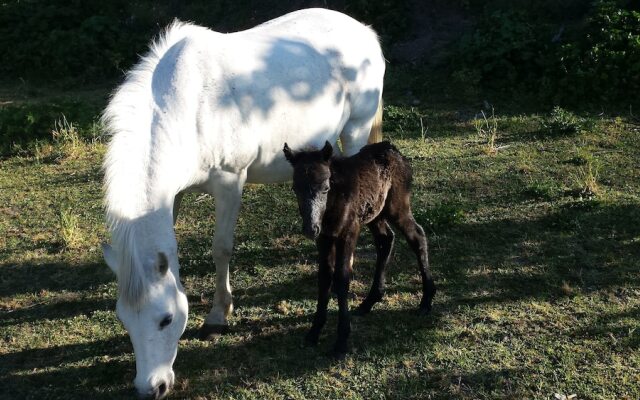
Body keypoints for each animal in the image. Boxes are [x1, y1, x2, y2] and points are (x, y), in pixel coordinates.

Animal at [98, 7, 382, 398]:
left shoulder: (230, 184)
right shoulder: (172, 195)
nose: (150, 388)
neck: (188, 110)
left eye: (166, 319)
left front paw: (218, 316)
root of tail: (364, 30)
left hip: (355, 131)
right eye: (123, 319)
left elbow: (222, 249)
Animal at [284, 141, 438, 356]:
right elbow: (324, 277)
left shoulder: (349, 231)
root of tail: (393, 149)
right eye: (295, 188)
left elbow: (342, 278)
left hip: (397, 205)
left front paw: (341, 341)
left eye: (325, 187)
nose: (310, 228)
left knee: (417, 236)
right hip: (375, 213)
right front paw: (314, 332)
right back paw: (370, 301)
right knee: (386, 239)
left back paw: (426, 301)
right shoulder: (324, 238)